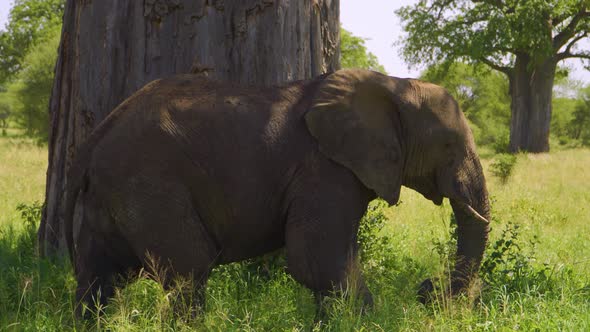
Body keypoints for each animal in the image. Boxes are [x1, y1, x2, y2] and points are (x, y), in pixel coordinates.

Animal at [63, 68, 490, 316]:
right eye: (448, 146)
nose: (427, 290)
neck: (395, 85)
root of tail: (96, 139)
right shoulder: (323, 168)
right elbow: (316, 259)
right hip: (149, 185)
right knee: (189, 270)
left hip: (113, 195)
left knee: (99, 278)